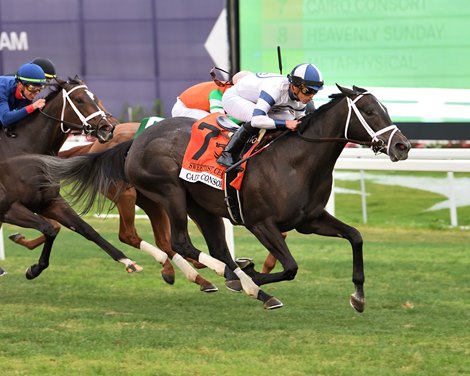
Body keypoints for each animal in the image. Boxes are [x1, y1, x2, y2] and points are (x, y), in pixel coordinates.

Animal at [0, 78, 144, 280]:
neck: (24, 152)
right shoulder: (9, 209)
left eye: (94, 97)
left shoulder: (49, 202)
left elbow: (86, 229)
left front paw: (127, 261)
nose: (109, 127)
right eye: (79, 99)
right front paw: (34, 269)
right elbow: (48, 228)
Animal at [37, 86, 412, 312]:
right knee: (181, 242)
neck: (296, 161)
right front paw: (251, 278)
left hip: (203, 207)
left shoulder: (309, 220)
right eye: (369, 112)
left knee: (212, 247)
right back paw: (237, 280)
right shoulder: (261, 223)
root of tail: (136, 139)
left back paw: (232, 277)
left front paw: (358, 296)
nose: (403, 146)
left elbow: (356, 237)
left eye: (384, 108)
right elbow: (290, 267)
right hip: (170, 193)